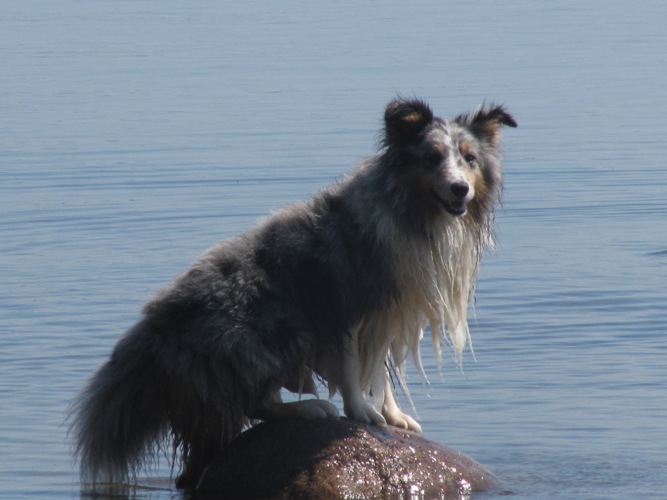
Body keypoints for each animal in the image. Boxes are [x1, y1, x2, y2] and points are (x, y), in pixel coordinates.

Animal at [70, 97, 516, 488]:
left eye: (469, 159)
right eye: (431, 158)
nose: (460, 190)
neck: (414, 214)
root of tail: (155, 333)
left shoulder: (390, 312)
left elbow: (381, 369)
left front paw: (392, 414)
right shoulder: (343, 303)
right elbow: (353, 367)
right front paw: (361, 412)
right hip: (277, 328)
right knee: (254, 405)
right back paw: (309, 407)